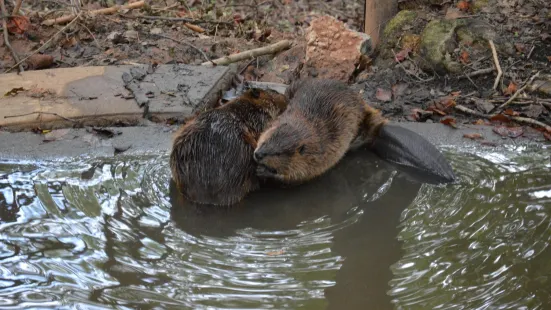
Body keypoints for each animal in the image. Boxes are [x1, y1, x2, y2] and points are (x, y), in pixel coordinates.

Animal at [254, 77, 458, 184]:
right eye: (266, 140)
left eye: (279, 153)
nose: (258, 154)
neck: (306, 127)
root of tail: (380, 128)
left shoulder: (322, 154)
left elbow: (299, 175)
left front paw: (264, 171)